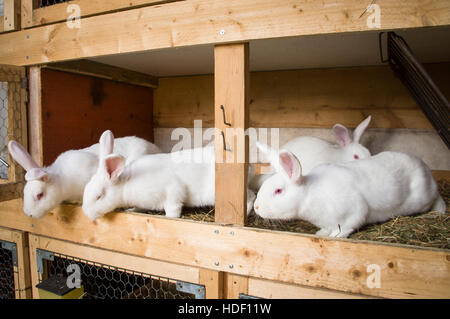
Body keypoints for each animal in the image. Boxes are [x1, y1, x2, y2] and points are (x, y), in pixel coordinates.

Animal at [81, 131, 256, 221]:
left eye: (99, 196)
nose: (87, 214)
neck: (126, 183)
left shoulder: (172, 191)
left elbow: (173, 208)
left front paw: (171, 218)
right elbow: (140, 207)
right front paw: (132, 209)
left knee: (251, 197)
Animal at [253, 142, 446, 238]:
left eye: (278, 191)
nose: (256, 207)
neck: (310, 193)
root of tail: (424, 167)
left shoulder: (354, 211)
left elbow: (348, 226)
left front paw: (335, 236)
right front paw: (321, 233)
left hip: (424, 197)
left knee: (436, 198)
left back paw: (441, 210)